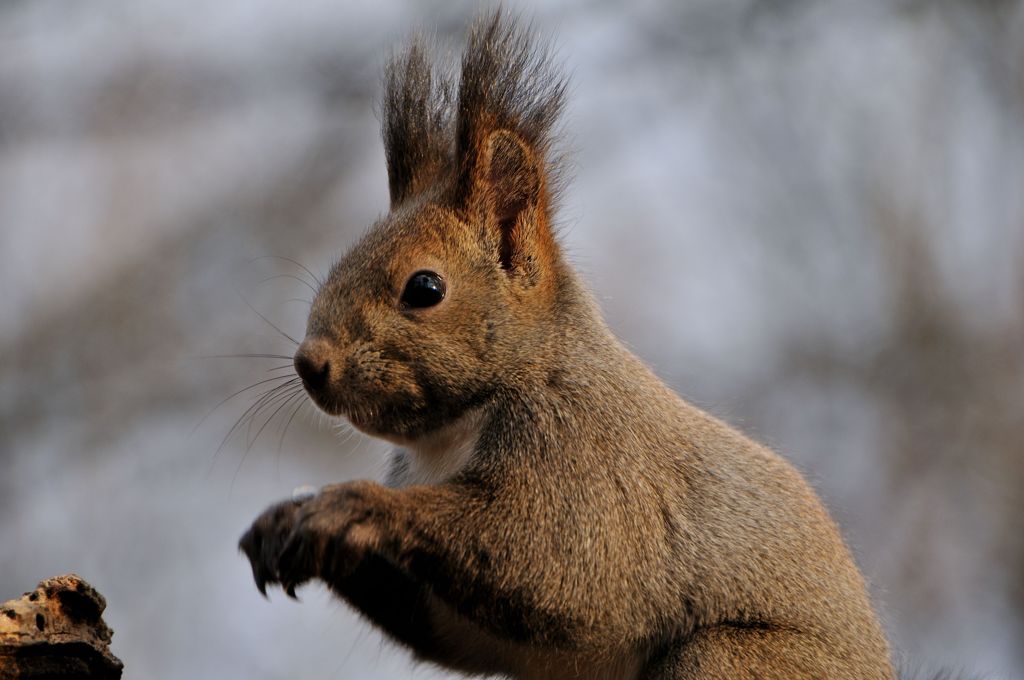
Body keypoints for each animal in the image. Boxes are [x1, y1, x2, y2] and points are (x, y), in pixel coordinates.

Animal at [239, 11, 897, 680]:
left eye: (425, 287)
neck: (451, 433)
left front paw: (353, 506)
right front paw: (282, 523)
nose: (311, 363)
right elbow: (449, 626)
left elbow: (553, 565)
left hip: (732, 658)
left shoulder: (585, 455)